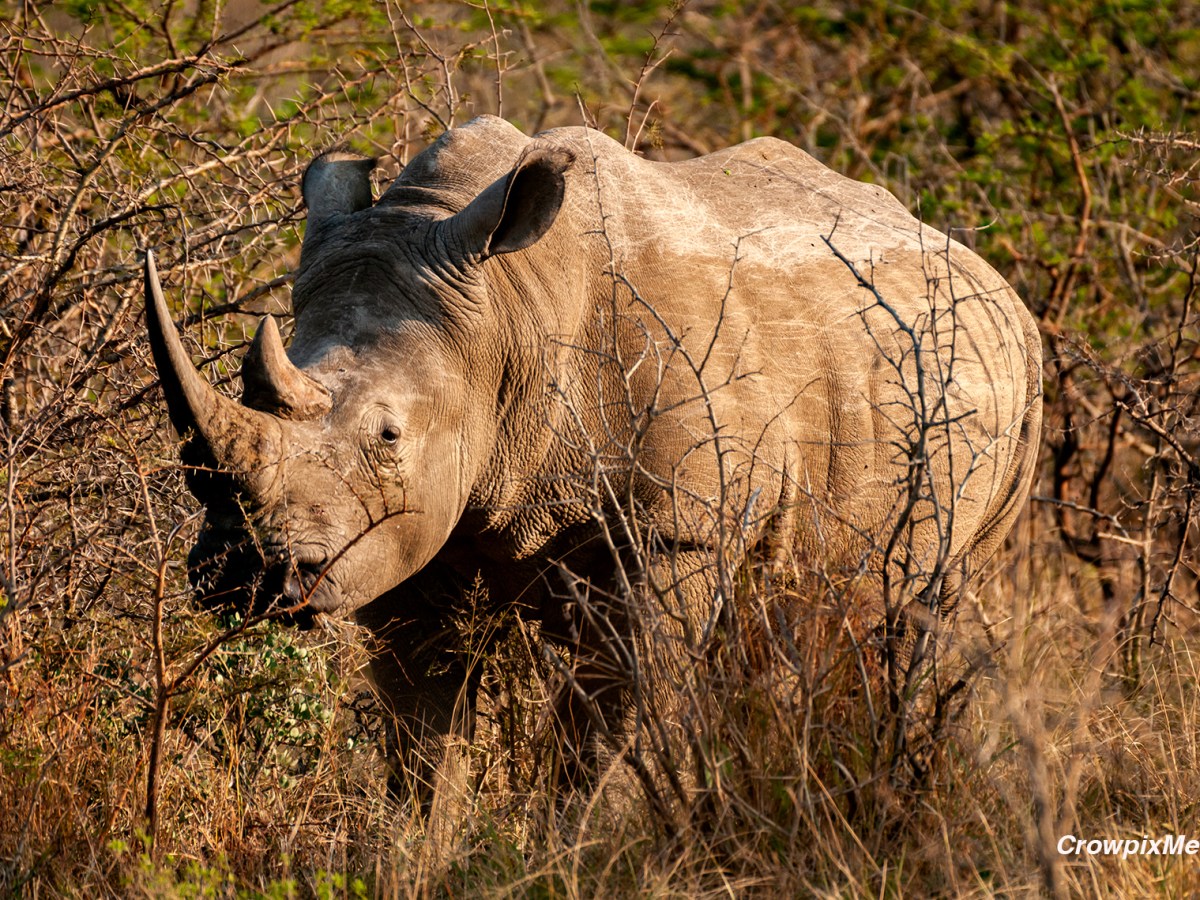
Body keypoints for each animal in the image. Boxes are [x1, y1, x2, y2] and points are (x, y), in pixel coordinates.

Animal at [145, 115, 1041, 797]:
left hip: (1015, 403)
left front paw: (574, 857)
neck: (506, 317)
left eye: (388, 435)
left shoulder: (673, 531)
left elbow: (608, 736)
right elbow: (422, 743)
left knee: (913, 615)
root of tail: (992, 279)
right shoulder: (406, 539)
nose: (242, 570)